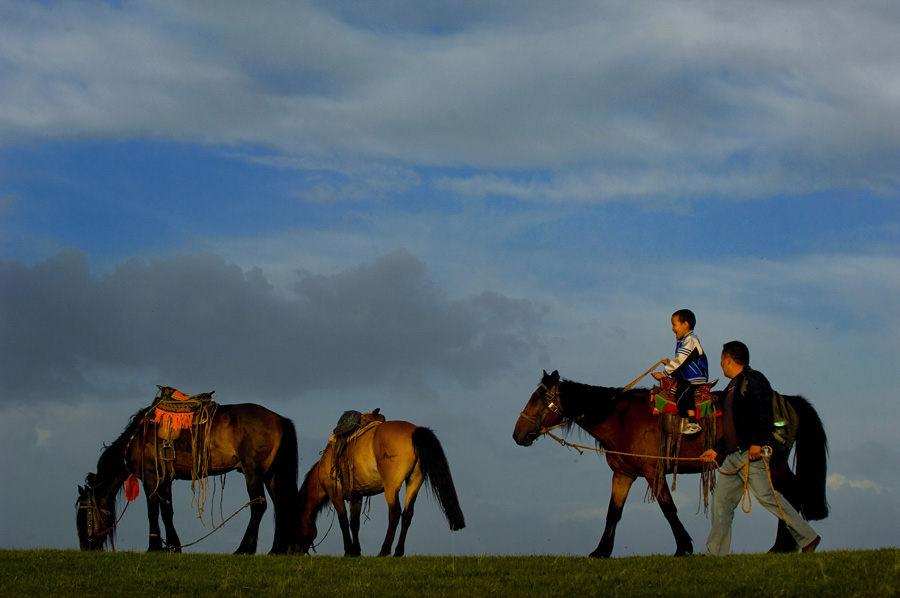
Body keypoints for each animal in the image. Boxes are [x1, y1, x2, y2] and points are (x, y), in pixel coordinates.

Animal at [76, 400, 300, 556]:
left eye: (83, 513)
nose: (85, 546)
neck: (139, 436)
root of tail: (279, 419)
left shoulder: (151, 476)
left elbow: (152, 510)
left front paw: (154, 546)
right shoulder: (165, 479)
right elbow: (167, 512)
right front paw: (173, 546)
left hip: (253, 472)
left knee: (258, 506)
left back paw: (244, 548)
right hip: (271, 475)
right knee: (281, 506)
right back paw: (276, 549)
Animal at [298, 422, 468, 556]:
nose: (294, 551)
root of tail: (415, 430)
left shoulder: (336, 495)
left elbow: (343, 522)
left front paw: (348, 551)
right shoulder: (356, 496)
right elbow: (354, 523)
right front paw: (356, 551)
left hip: (391, 487)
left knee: (395, 513)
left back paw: (384, 551)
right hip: (414, 481)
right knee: (407, 514)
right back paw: (398, 552)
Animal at [512, 372, 828, 560]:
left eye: (537, 398)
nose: (517, 434)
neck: (621, 418)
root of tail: (788, 401)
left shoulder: (653, 473)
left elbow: (668, 509)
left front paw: (684, 547)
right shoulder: (624, 475)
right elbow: (613, 513)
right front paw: (601, 551)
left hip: (772, 463)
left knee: (788, 495)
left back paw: (783, 545)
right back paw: (785, 545)